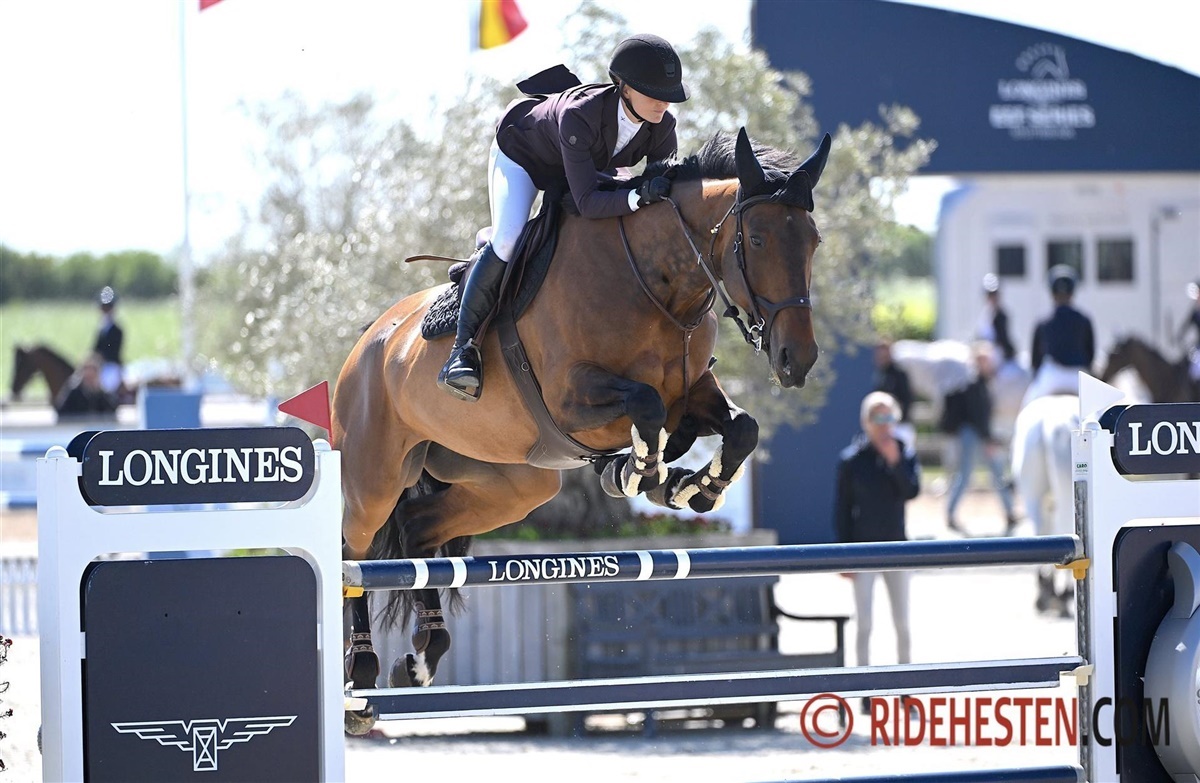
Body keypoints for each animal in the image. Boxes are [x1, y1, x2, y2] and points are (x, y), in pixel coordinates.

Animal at [333, 128, 830, 733]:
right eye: (756, 240)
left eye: (813, 242)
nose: (796, 361)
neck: (656, 286)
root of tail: (369, 340)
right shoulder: (572, 401)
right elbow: (647, 409)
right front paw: (639, 473)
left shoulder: (693, 391)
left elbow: (739, 428)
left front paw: (693, 486)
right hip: (374, 475)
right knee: (353, 552)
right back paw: (361, 672)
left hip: (512, 484)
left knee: (420, 527)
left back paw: (424, 655)